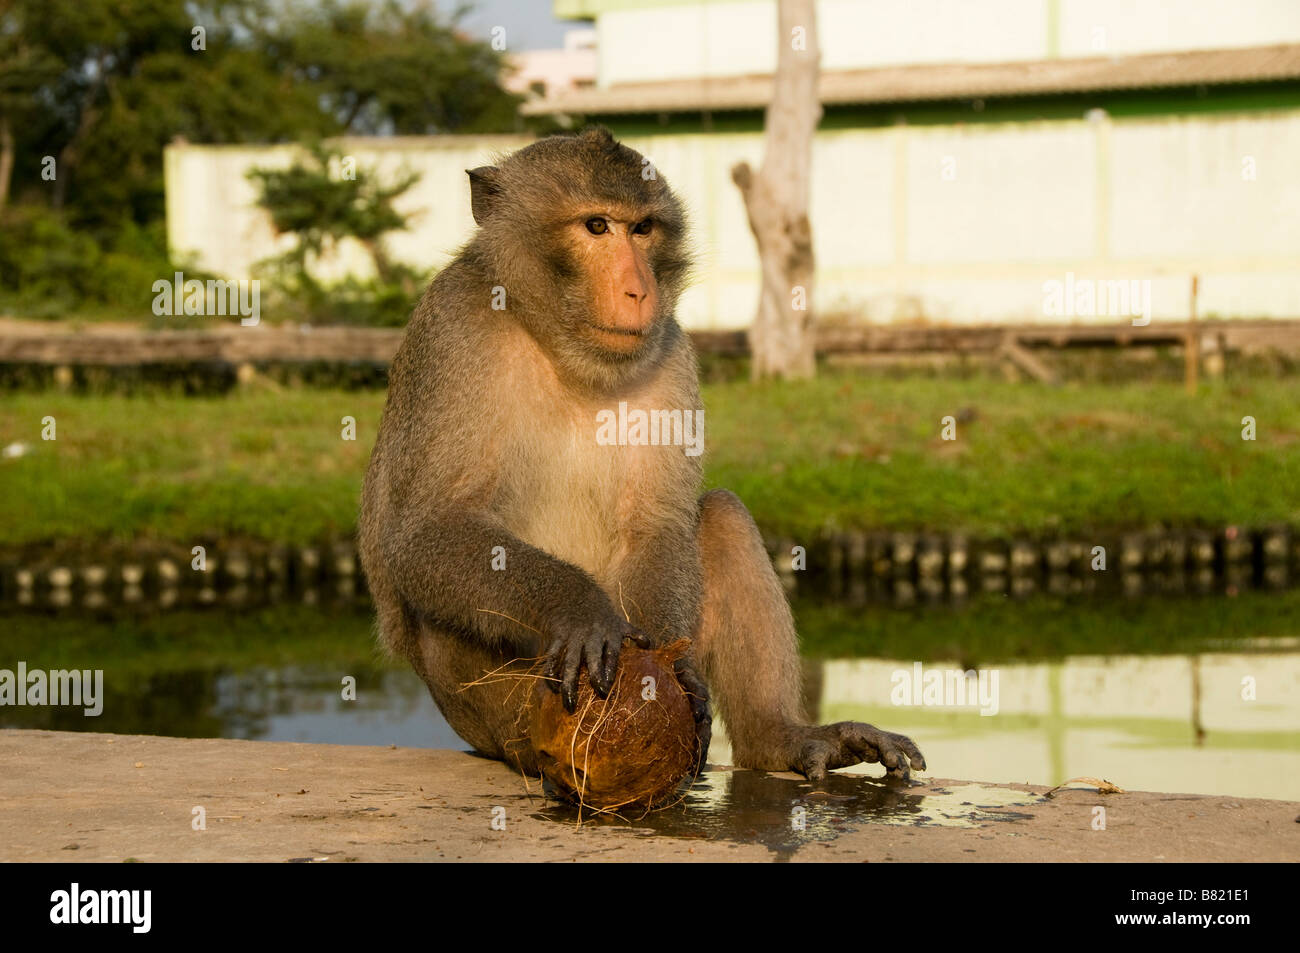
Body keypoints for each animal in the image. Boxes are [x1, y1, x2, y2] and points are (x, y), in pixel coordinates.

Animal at [356, 124, 925, 780]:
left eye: (643, 229)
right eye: (597, 226)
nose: (638, 289)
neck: (559, 346)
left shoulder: (669, 350)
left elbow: (657, 524)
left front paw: (673, 675)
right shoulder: (456, 330)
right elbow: (427, 530)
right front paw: (578, 607)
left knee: (720, 514)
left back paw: (778, 738)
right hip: (491, 710)